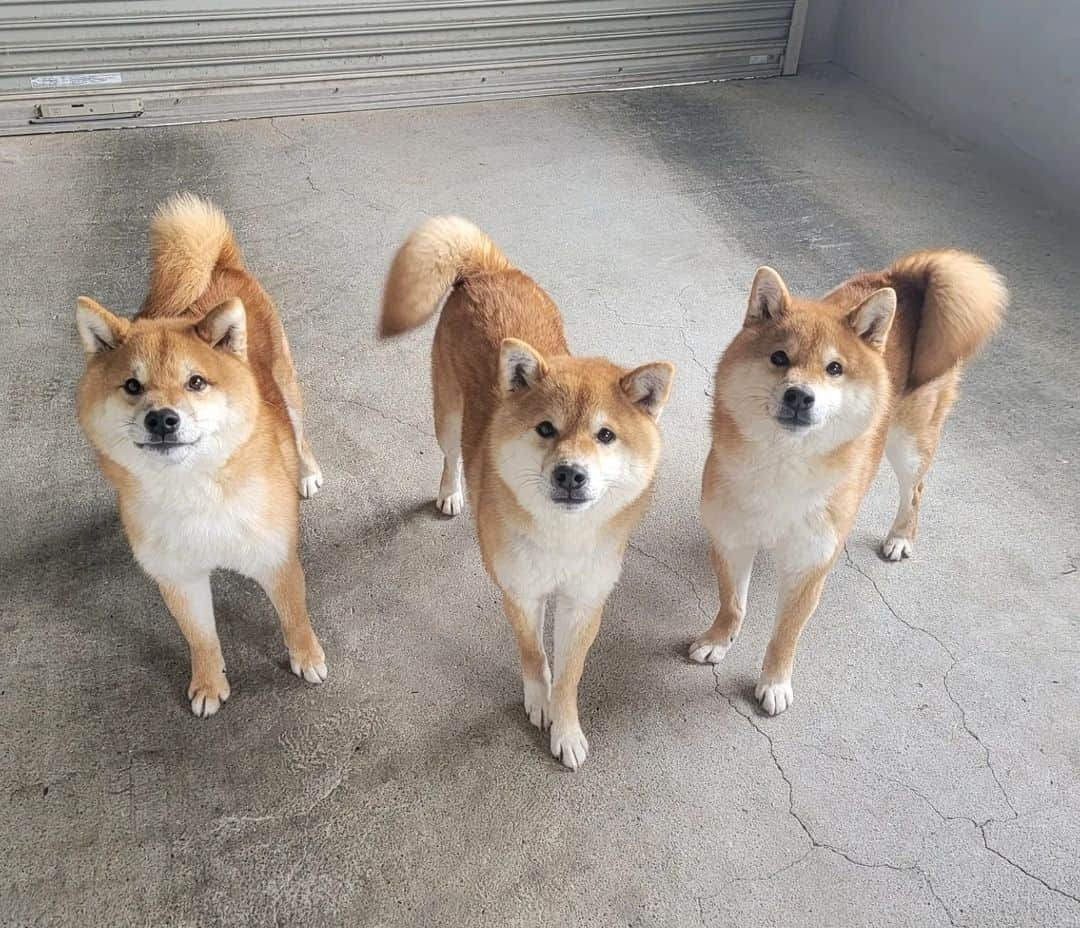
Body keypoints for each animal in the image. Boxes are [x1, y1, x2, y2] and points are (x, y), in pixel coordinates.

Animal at [75, 194, 324, 717]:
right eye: (132, 386)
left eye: (195, 382)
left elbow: (294, 618)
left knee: (300, 435)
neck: (192, 491)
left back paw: (307, 473)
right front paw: (210, 683)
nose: (162, 419)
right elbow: (202, 639)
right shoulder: (179, 579)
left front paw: (307, 658)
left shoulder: (276, 559)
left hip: (287, 385)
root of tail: (221, 266)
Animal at [375, 218, 669, 769]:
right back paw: (452, 493)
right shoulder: (521, 593)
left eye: (605, 435)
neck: (562, 538)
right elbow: (534, 653)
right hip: (448, 415)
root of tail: (489, 270)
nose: (571, 475)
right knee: (451, 455)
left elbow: (571, 674)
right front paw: (539, 700)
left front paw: (567, 726)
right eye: (546, 429)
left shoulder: (583, 602)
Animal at [691, 250, 1002, 713]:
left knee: (914, 490)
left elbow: (786, 634)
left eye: (834, 368)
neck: (784, 464)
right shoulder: (732, 537)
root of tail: (907, 278)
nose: (799, 395)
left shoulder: (811, 563)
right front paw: (718, 639)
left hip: (908, 444)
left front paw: (775, 682)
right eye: (779, 358)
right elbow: (732, 603)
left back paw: (901, 536)